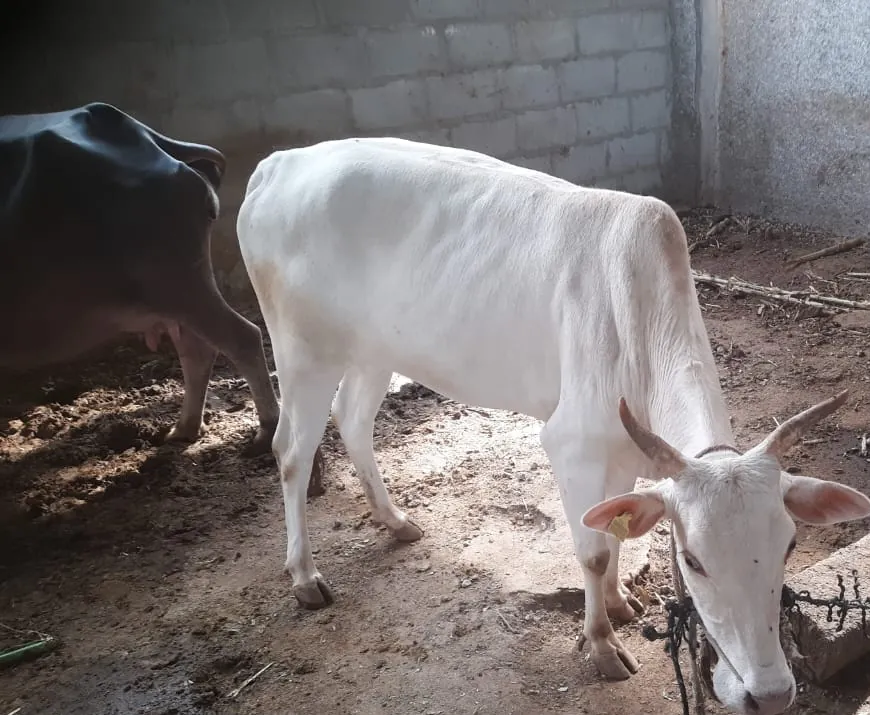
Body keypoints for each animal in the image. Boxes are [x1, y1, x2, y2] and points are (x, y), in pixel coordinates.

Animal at [0, 102, 323, 493]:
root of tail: (147, 136)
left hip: (175, 281)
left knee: (240, 337)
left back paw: (264, 431)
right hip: (174, 293)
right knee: (199, 347)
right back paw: (184, 429)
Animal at [235, 137, 870, 715]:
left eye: (789, 544)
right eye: (691, 560)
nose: (770, 693)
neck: (639, 323)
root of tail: (278, 163)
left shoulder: (622, 453)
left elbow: (614, 534)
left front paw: (619, 603)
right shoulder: (571, 445)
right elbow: (591, 553)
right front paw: (602, 645)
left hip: (374, 349)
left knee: (353, 419)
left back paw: (394, 520)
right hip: (303, 349)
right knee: (292, 450)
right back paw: (304, 575)